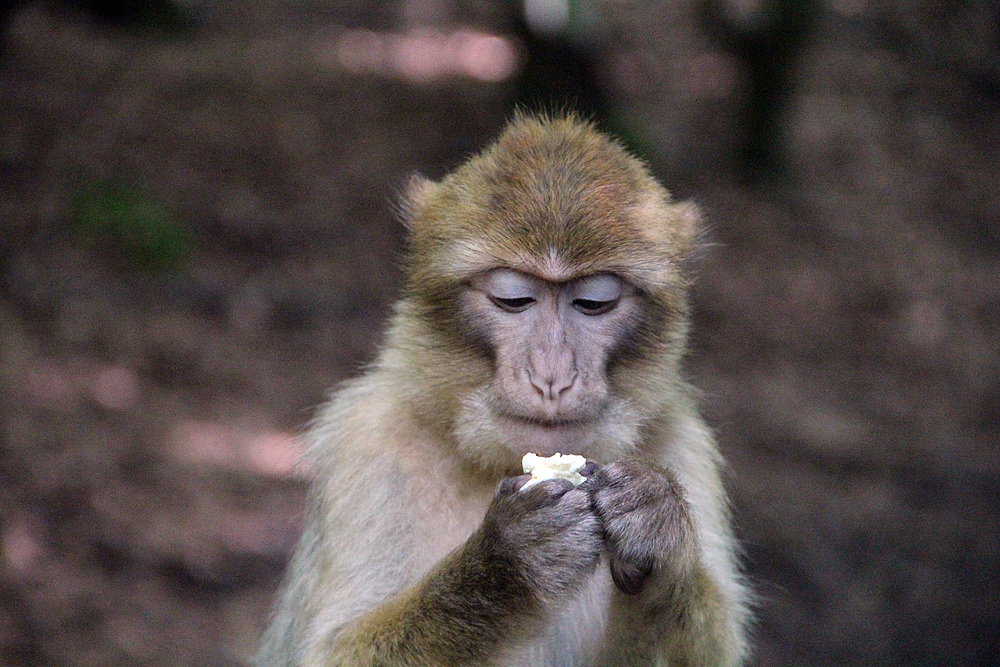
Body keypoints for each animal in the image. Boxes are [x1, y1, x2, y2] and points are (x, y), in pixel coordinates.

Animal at [252, 115, 752, 667]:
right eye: (513, 299)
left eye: (593, 303)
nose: (552, 377)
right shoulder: (367, 442)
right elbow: (331, 650)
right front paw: (510, 562)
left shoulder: (686, 443)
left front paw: (657, 524)